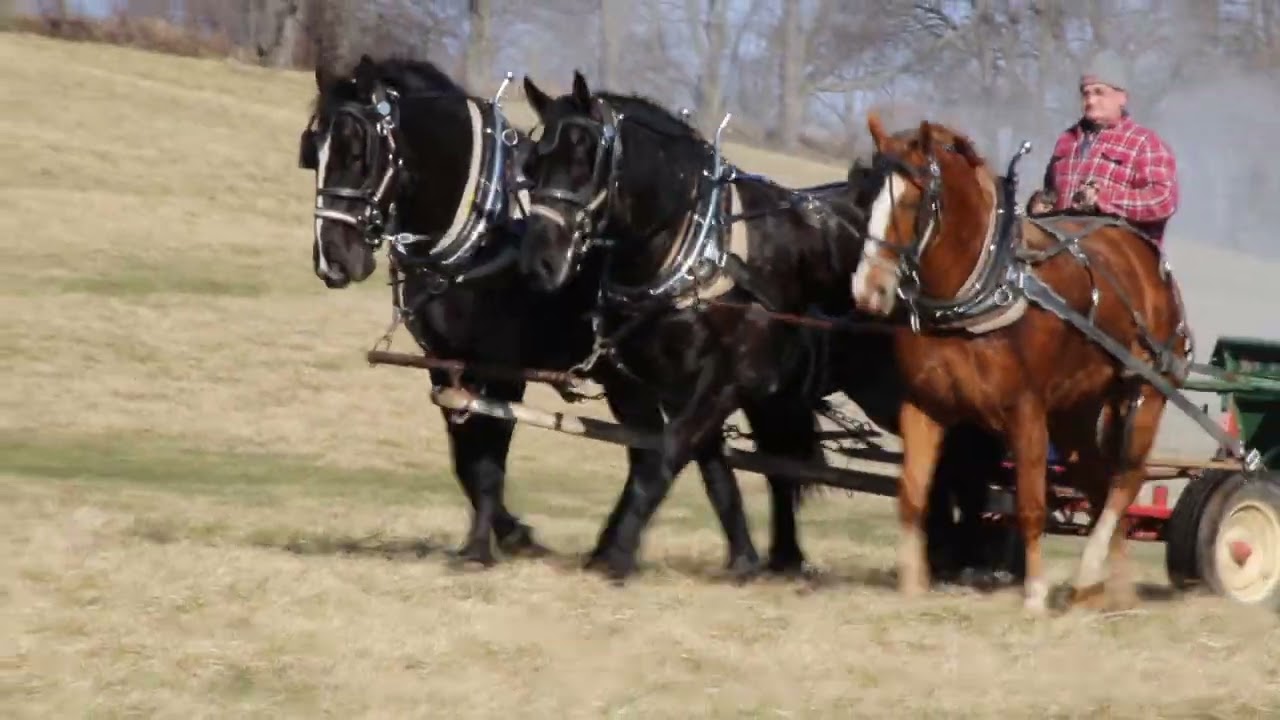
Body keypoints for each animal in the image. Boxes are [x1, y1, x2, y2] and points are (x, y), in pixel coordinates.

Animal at [296, 53, 788, 573]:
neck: (486, 230)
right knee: (688, 447)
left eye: (358, 151)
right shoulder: (445, 364)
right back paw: (728, 556)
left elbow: (488, 459)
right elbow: (466, 462)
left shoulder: (502, 369)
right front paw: (512, 536)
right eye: (312, 152)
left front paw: (482, 549)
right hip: (637, 379)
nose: (332, 259)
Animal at [849, 113, 1187, 609]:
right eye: (866, 192)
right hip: (1074, 413)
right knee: (1098, 481)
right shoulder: (924, 405)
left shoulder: (1025, 410)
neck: (980, 287)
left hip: (1145, 393)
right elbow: (912, 494)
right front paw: (912, 586)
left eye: (915, 199)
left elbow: (1030, 505)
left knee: (1125, 481)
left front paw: (1035, 595)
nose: (867, 290)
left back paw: (1091, 573)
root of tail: (1150, 263)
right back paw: (1106, 589)